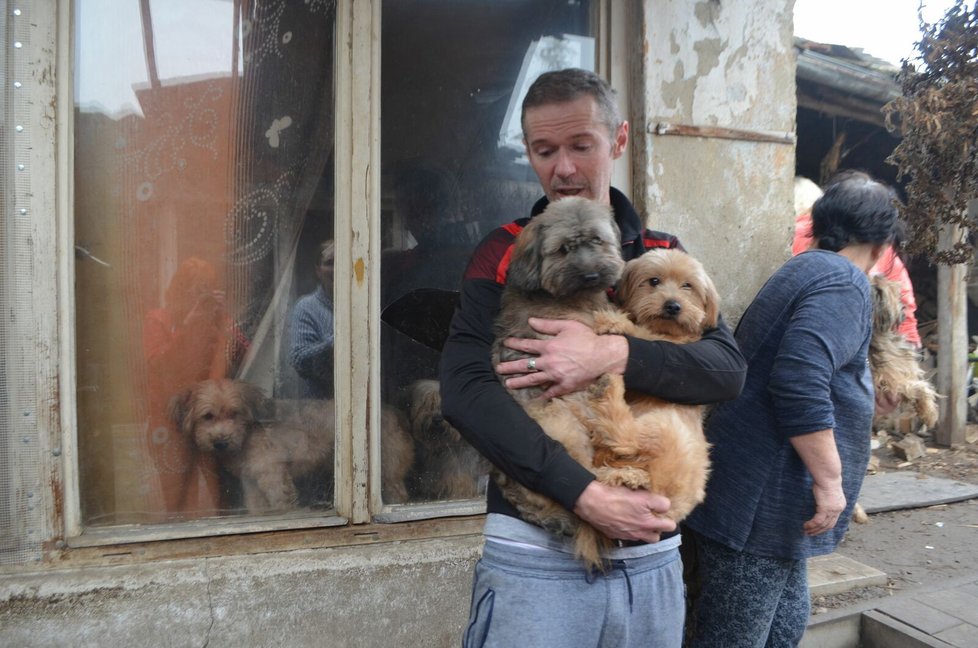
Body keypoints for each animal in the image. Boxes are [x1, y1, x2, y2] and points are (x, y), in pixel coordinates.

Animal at [168, 378, 412, 512]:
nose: (220, 442)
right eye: (207, 416)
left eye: (234, 413)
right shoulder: (252, 483)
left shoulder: (274, 477)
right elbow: (256, 508)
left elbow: (280, 504)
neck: (248, 435)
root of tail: (394, 411)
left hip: (389, 469)